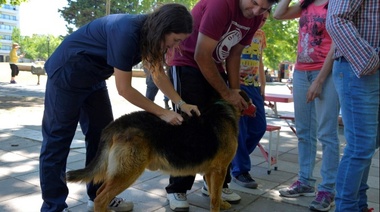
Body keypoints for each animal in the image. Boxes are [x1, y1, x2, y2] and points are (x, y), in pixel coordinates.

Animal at [66, 92, 255, 211]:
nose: (256, 107)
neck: (224, 107)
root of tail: (116, 124)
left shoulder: (211, 171)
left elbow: (214, 195)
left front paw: (222, 203)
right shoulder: (219, 170)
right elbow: (214, 198)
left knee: (99, 193)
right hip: (128, 172)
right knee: (100, 198)